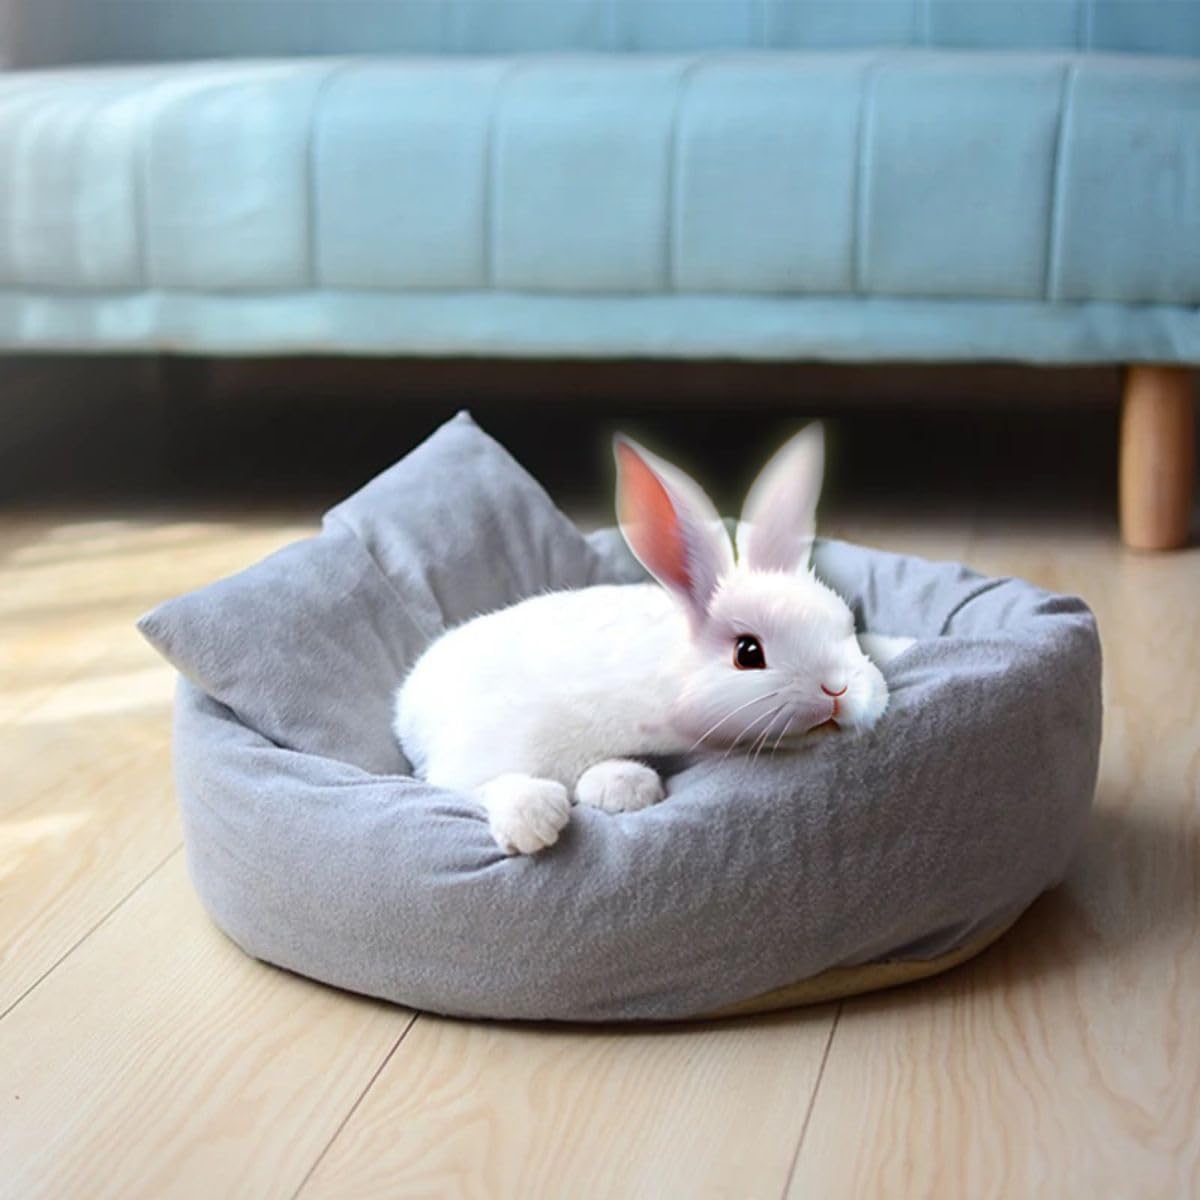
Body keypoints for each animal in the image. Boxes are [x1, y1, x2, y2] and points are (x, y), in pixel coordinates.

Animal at [394, 423, 906, 856]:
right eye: (748, 653)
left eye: (847, 627)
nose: (838, 689)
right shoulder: (487, 750)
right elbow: (484, 782)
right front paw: (534, 823)